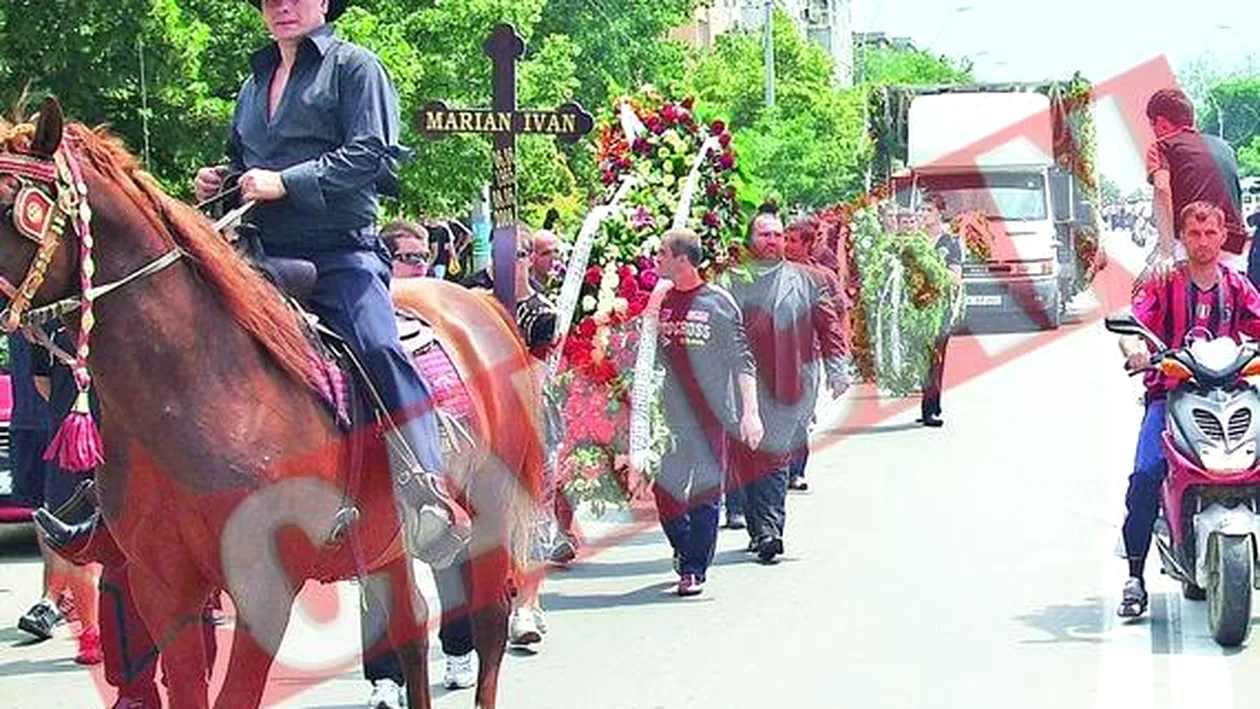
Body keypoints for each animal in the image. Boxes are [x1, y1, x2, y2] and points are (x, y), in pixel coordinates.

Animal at [0, 98, 541, 709]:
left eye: (7, 202)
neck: (195, 392)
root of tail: (479, 303)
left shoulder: (263, 586)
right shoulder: (162, 585)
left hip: (489, 513)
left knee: (489, 624)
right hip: (390, 546)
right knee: (409, 626)